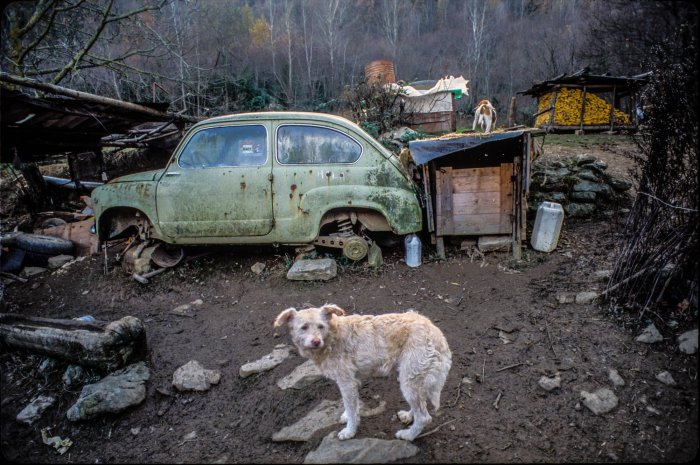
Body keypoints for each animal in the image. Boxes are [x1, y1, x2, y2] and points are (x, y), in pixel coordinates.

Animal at [270, 302, 452, 440]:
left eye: (320, 326)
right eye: (304, 327)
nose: (316, 341)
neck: (331, 338)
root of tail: (436, 333)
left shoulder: (347, 382)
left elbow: (351, 409)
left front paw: (349, 431)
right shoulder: (353, 381)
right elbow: (352, 406)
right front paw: (347, 417)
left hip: (410, 379)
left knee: (425, 417)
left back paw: (408, 435)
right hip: (415, 378)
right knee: (421, 403)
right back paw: (409, 415)